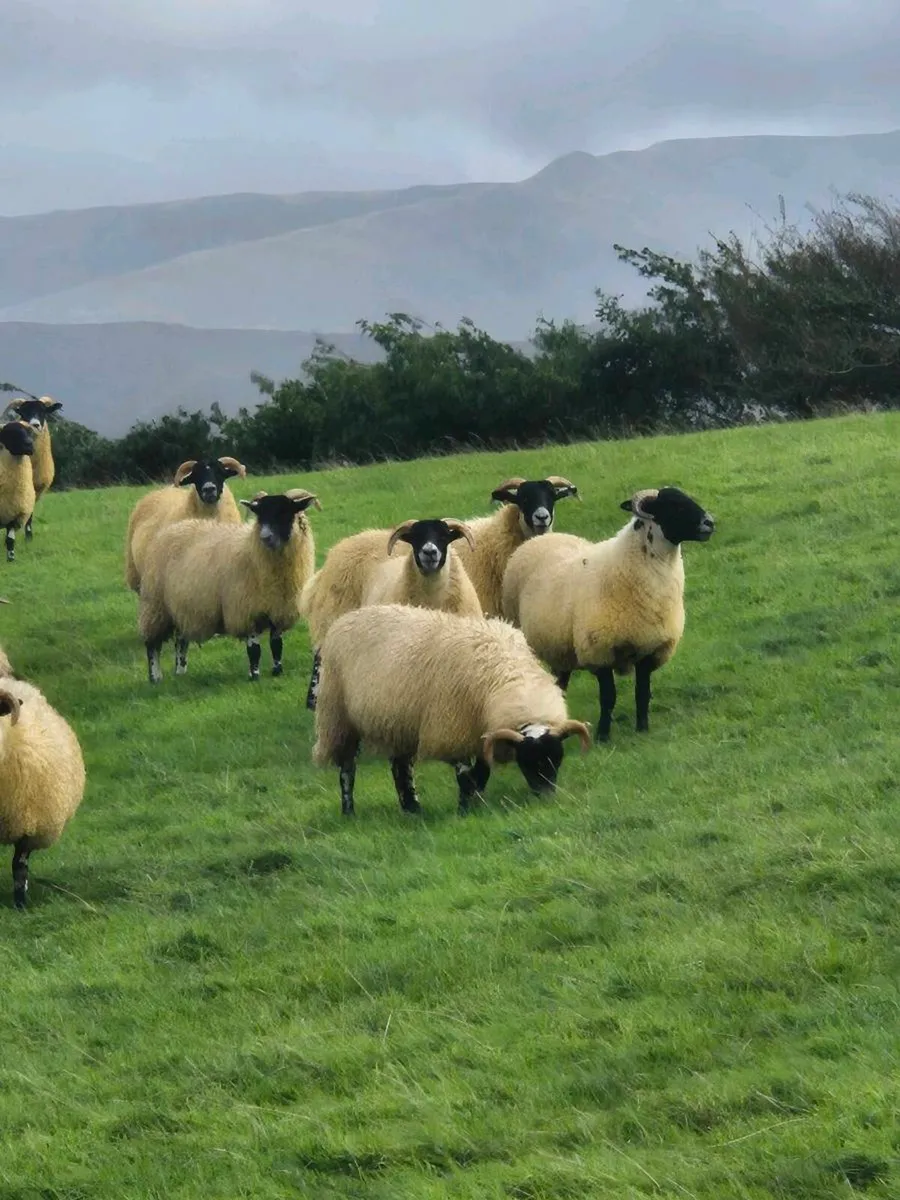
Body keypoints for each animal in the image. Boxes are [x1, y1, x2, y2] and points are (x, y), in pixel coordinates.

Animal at [0, 421, 36, 563]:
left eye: (29, 431)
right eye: (11, 432)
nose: (29, 444)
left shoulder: (14, 513)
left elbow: (10, 539)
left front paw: (11, 559)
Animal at [8, 396, 62, 542]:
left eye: (43, 411)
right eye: (23, 413)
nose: (35, 425)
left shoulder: (36, 488)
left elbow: (30, 514)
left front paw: (29, 537)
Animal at [138, 488, 320, 683]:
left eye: (285, 512)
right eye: (260, 516)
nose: (265, 537)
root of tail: (171, 529)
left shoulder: (278, 610)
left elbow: (277, 645)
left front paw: (277, 671)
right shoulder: (245, 611)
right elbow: (254, 649)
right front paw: (254, 675)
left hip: (181, 607)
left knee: (181, 640)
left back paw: (180, 672)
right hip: (155, 606)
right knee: (152, 645)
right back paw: (155, 677)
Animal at [312, 603, 591, 816]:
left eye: (558, 758)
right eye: (527, 760)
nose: (546, 797)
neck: (508, 676)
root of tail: (349, 616)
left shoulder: (480, 736)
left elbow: (481, 773)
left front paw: (476, 802)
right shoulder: (454, 731)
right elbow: (465, 776)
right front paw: (465, 810)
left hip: (399, 722)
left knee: (401, 767)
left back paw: (412, 808)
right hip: (339, 718)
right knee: (347, 768)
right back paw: (349, 810)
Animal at [501, 486, 715, 741]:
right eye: (672, 505)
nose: (709, 522)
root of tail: (541, 538)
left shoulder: (649, 650)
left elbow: (642, 693)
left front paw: (642, 729)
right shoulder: (599, 651)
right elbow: (608, 697)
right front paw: (603, 736)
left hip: (560, 649)